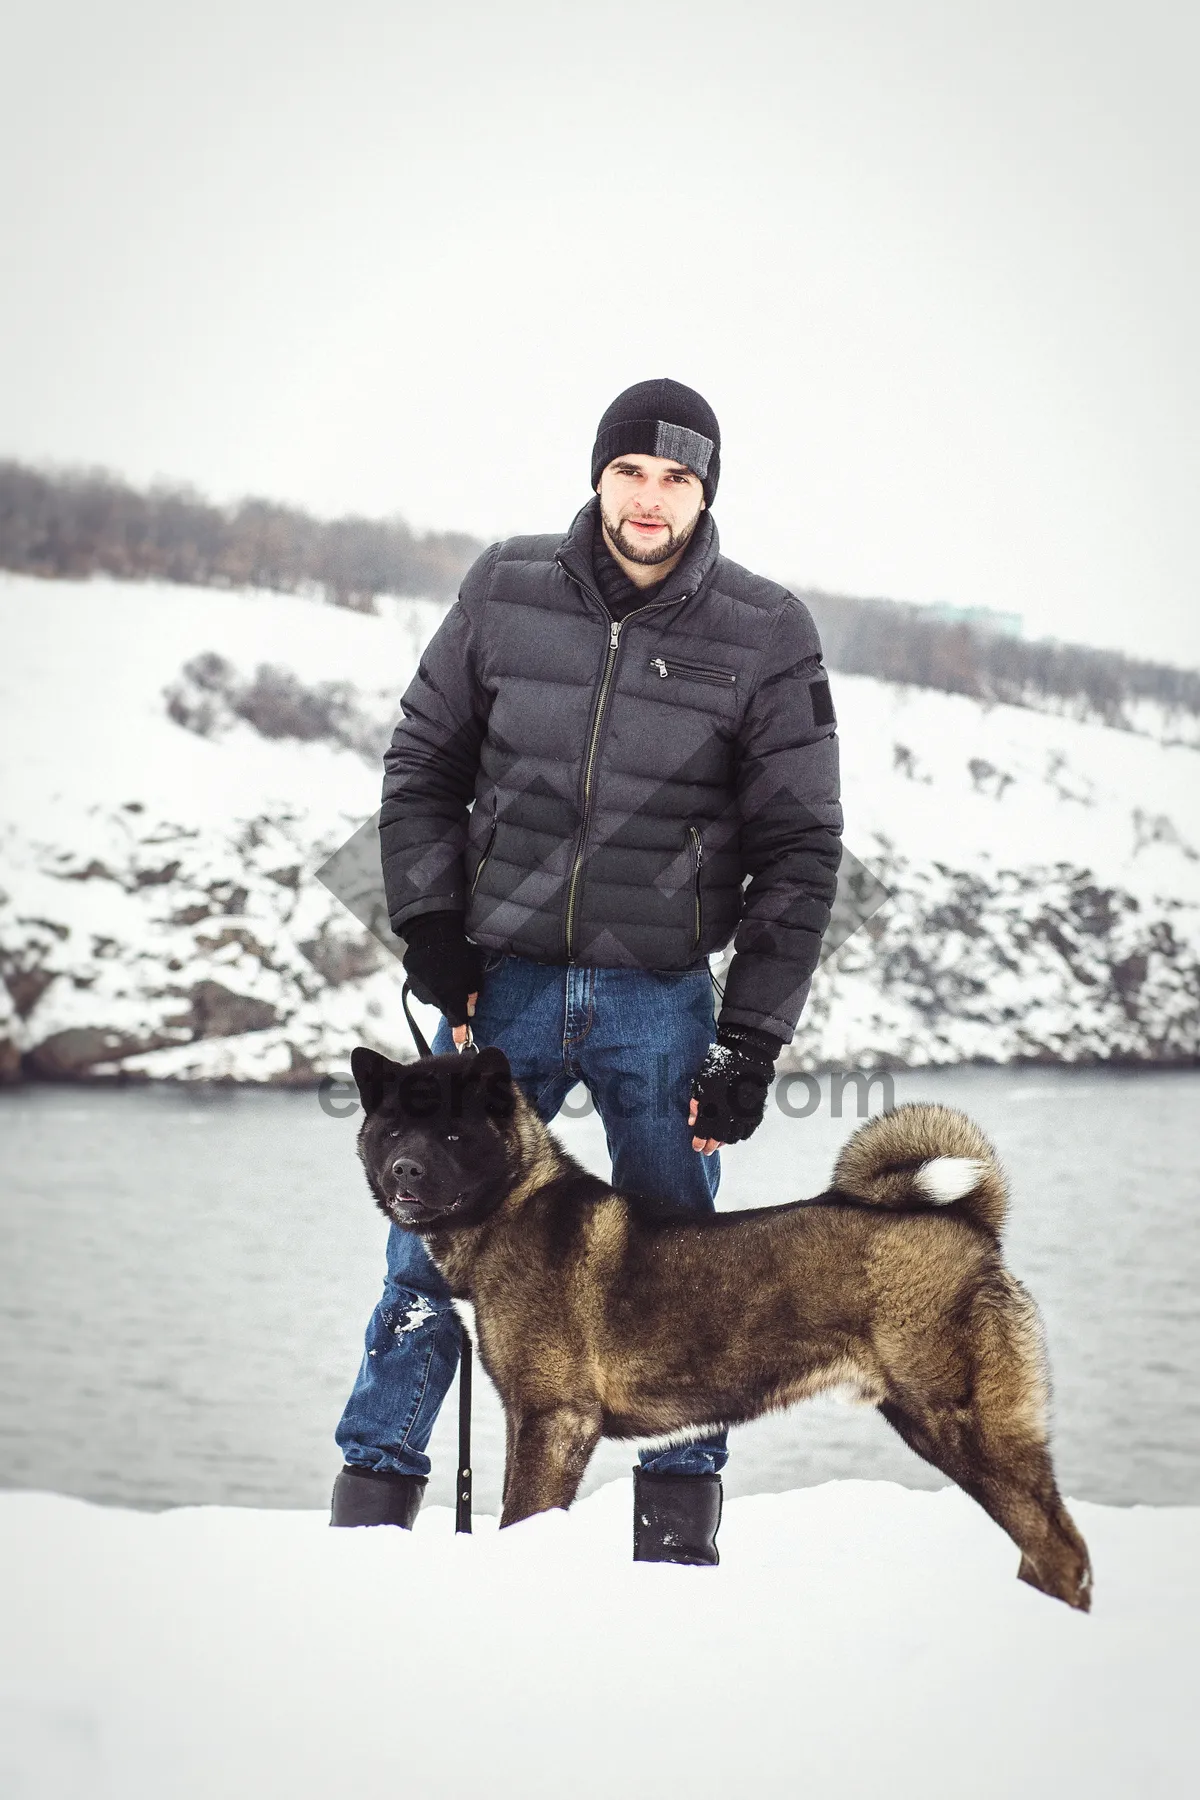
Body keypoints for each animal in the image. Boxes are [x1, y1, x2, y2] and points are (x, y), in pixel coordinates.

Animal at [352, 1036, 1093, 1612]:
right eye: (393, 1132)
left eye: (453, 1134)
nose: (404, 1168)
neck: (512, 1206)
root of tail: (971, 1223)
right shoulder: (534, 1420)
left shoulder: (554, 1418)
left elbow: (522, 1515)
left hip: (966, 1424)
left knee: (1061, 1548)